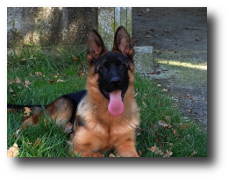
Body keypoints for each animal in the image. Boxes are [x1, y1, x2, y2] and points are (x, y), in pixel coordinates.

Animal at [9, 26, 140, 157]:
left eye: (122, 65)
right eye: (103, 68)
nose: (115, 82)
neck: (109, 120)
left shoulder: (127, 147)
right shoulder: (78, 148)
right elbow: (99, 154)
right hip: (63, 110)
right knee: (32, 119)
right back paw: (19, 132)